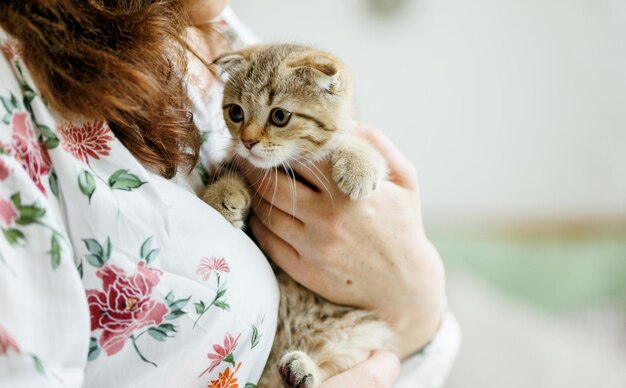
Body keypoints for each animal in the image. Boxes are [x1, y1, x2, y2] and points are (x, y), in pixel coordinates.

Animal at [202, 44, 392, 386]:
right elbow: (231, 168)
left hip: (357, 336)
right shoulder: (239, 161)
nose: (247, 141)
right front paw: (221, 196)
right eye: (235, 112)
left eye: (280, 116)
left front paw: (358, 165)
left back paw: (302, 369)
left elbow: (356, 142)